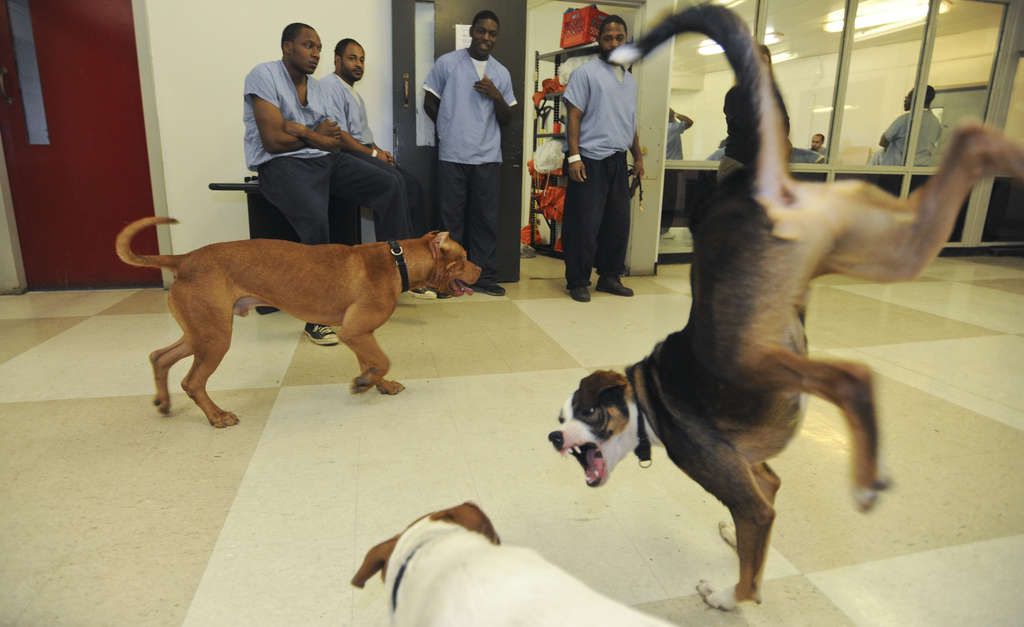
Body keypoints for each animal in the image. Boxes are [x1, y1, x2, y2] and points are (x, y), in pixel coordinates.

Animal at [114, 218, 481, 428]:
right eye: (463, 258)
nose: (480, 271)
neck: (397, 260)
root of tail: (185, 258)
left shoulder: (359, 333)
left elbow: (374, 363)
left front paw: (377, 384)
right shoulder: (355, 331)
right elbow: (382, 360)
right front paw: (365, 383)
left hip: (200, 332)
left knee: (160, 357)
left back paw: (163, 403)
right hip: (215, 338)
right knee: (192, 382)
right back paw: (216, 416)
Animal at [544, 2, 1024, 610]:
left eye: (582, 414)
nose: (554, 438)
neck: (647, 401)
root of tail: (754, 183)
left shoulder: (742, 489)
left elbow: (752, 556)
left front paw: (730, 597)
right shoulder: (760, 475)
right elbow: (759, 530)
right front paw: (734, 544)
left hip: (750, 355)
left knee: (850, 379)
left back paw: (864, 475)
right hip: (880, 242)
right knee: (966, 145)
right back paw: (1006, 153)